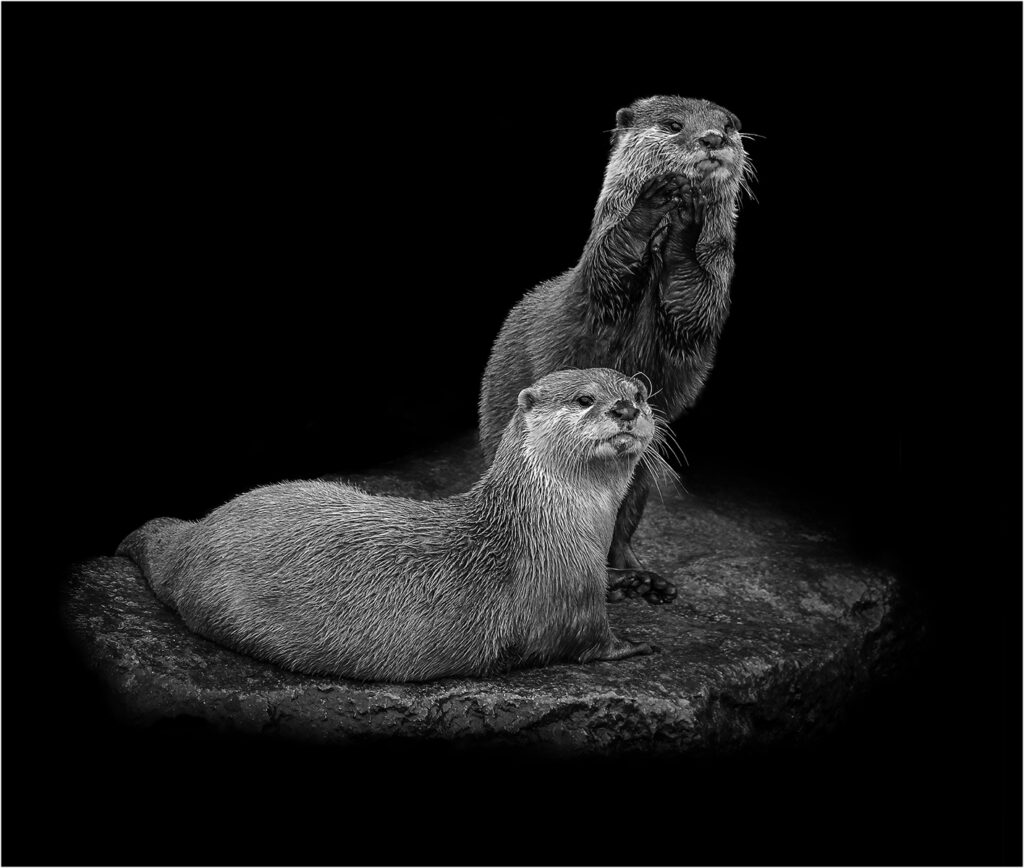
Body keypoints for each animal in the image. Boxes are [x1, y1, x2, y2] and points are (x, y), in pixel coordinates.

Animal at [117, 368, 671, 682]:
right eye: (584, 399)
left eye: (639, 394)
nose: (626, 408)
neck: (548, 526)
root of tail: (193, 538)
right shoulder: (565, 598)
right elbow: (586, 642)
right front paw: (635, 644)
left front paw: (640, 582)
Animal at [479, 95, 753, 604]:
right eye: (673, 125)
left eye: (728, 125)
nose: (712, 139)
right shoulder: (598, 282)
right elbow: (615, 255)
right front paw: (658, 199)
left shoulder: (709, 294)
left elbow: (692, 299)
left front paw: (689, 217)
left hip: (642, 476)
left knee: (622, 526)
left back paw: (641, 579)